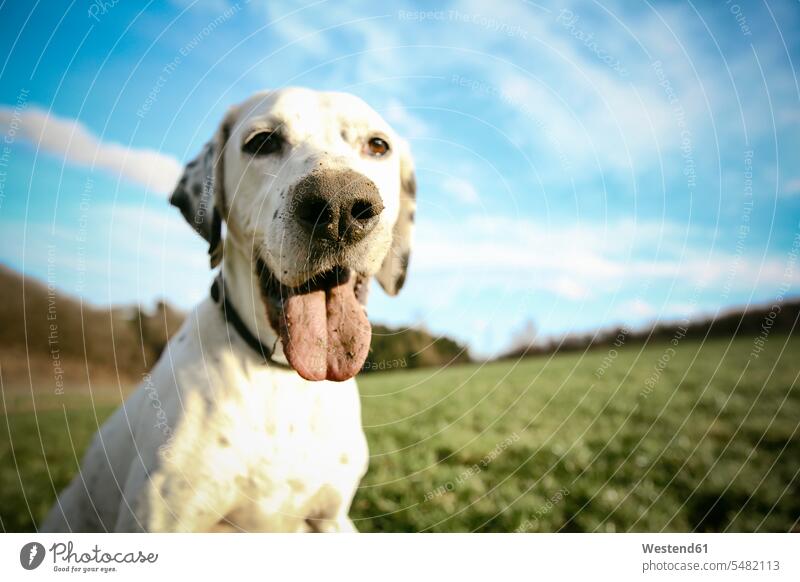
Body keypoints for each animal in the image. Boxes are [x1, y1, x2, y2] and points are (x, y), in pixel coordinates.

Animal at [42, 88, 418, 532]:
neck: (280, 379)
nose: (340, 207)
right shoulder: (157, 520)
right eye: (262, 141)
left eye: (377, 145)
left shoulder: (330, 518)